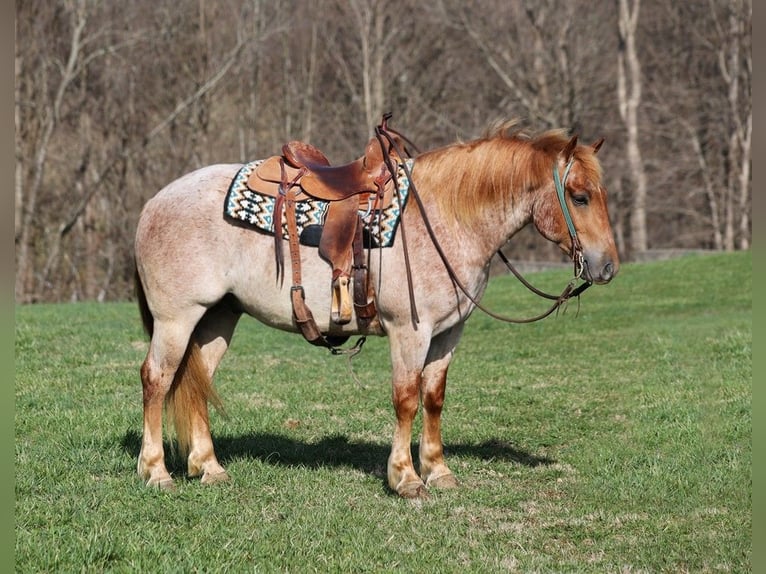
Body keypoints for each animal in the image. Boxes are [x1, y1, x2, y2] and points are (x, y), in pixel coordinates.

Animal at [133, 120, 619, 498]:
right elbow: (406, 400)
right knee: (157, 379)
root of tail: (154, 202)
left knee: (197, 381)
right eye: (579, 196)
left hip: (218, 317)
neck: (445, 217)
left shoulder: (448, 333)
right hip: (177, 319)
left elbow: (433, 398)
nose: (608, 266)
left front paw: (438, 471)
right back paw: (156, 471)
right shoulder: (410, 331)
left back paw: (209, 467)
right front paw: (405, 478)